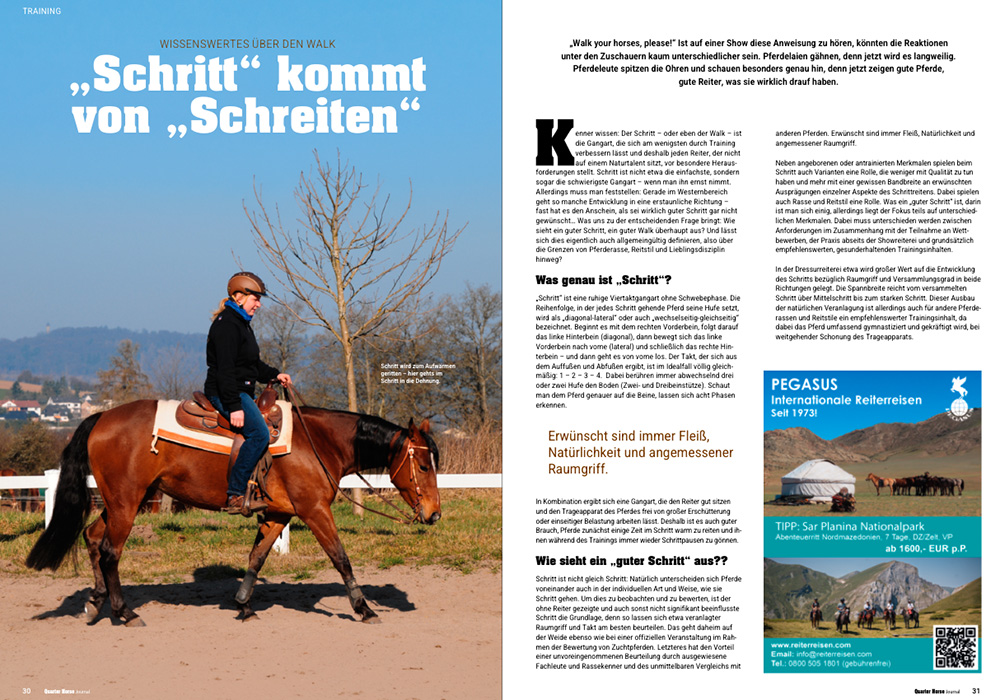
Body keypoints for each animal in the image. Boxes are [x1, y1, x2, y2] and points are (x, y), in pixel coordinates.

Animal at [25, 400, 441, 627]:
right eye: (423, 465)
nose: (434, 514)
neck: (318, 443)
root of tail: (102, 417)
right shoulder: (314, 510)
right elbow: (341, 558)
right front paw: (364, 608)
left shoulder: (278, 515)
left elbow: (257, 557)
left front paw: (243, 605)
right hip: (127, 503)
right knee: (111, 552)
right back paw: (124, 612)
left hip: (117, 504)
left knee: (93, 539)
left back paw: (94, 603)